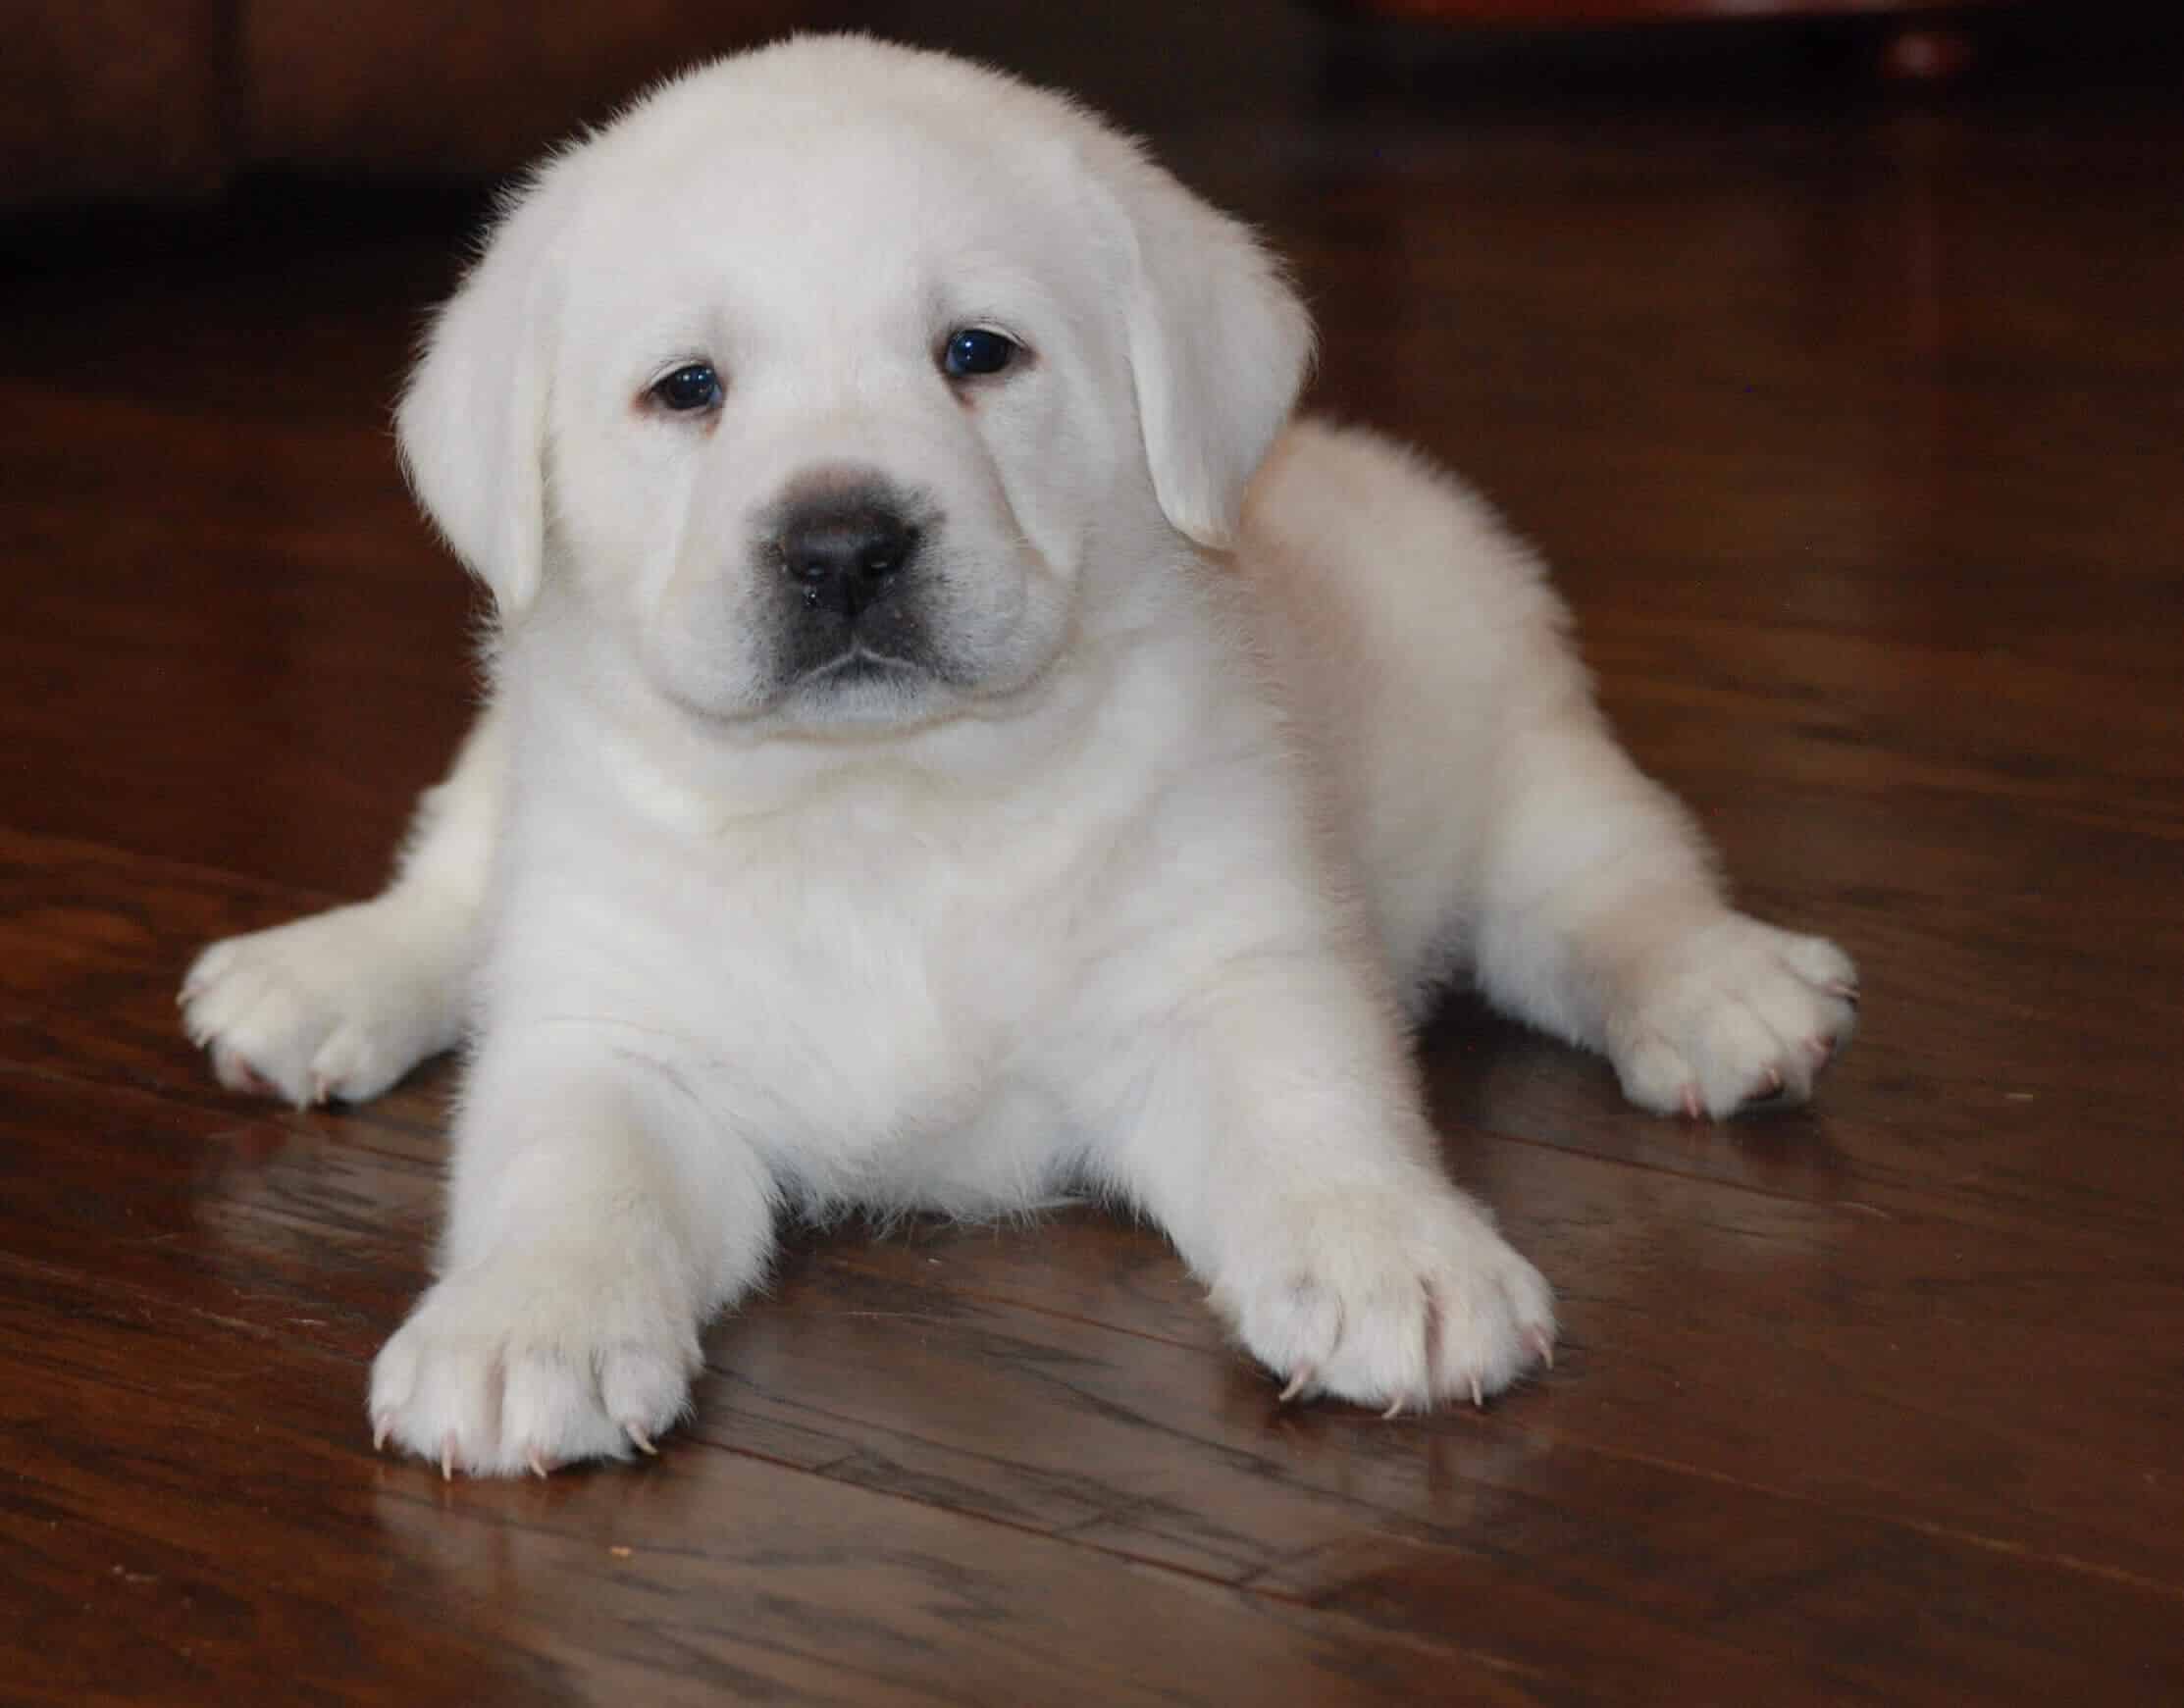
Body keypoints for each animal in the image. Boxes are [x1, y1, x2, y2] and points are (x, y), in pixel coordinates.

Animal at [179, 39, 1851, 1484]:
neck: (878, 803)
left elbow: (1314, 1105)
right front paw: (526, 1322)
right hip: (499, 786)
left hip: (1515, 733)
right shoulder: (611, 1028)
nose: (841, 545)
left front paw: (1388, 1249)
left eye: (978, 354)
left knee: (1606, 884)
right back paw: (318, 976)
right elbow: (568, 1168)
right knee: (451, 880)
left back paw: (1721, 987)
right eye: (686, 388)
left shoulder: (1227, 968)